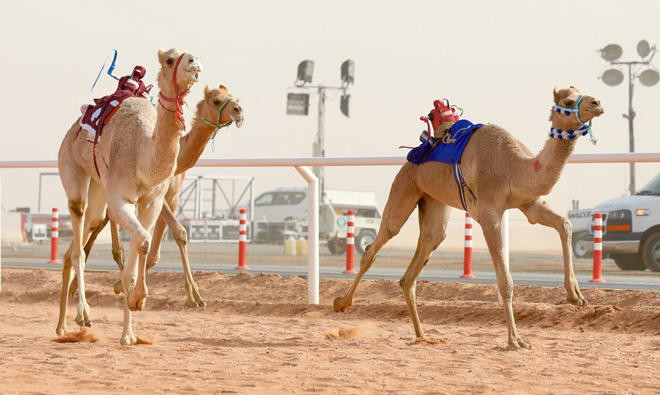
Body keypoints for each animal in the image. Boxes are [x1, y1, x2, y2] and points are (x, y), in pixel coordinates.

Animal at [56, 48, 201, 346]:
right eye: (170, 59)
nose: (194, 63)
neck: (143, 154)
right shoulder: (121, 201)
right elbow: (143, 242)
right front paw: (137, 301)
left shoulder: (152, 202)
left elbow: (135, 259)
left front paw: (129, 333)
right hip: (72, 170)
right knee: (77, 241)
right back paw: (82, 316)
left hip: (99, 189)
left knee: (82, 234)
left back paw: (62, 327)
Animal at [71, 85, 245, 306]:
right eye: (217, 101)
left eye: (234, 98)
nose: (238, 110)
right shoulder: (157, 195)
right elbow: (176, 233)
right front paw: (123, 285)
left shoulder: (171, 196)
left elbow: (176, 237)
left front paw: (195, 295)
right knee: (104, 229)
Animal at [336, 86, 604, 350]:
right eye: (568, 100)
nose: (598, 103)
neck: (514, 166)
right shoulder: (488, 215)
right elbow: (505, 282)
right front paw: (515, 340)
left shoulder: (530, 204)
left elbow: (565, 224)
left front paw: (576, 296)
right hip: (405, 186)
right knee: (379, 242)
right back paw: (341, 303)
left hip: (434, 202)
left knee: (420, 258)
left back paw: (423, 335)